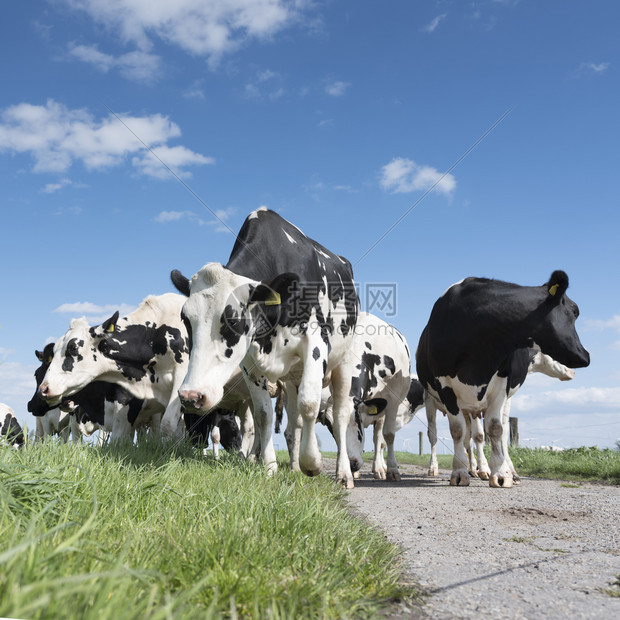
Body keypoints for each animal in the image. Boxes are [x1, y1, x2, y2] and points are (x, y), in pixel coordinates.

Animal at [172, 208, 360, 490]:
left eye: (233, 320)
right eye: (185, 319)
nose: (191, 396)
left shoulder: (316, 342)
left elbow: (310, 404)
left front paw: (312, 463)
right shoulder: (250, 362)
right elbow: (263, 415)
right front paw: (270, 468)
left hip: (343, 363)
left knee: (339, 416)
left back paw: (343, 473)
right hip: (291, 378)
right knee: (293, 421)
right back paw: (293, 467)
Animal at [416, 272, 592, 490]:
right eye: (575, 311)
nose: (586, 356)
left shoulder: (500, 387)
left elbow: (495, 429)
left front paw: (499, 473)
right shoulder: (445, 386)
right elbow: (457, 431)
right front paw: (459, 472)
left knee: (489, 434)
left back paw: (495, 470)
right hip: (431, 399)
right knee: (435, 435)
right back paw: (438, 468)